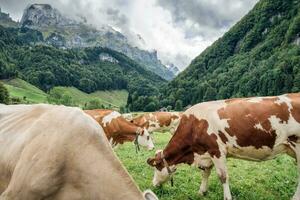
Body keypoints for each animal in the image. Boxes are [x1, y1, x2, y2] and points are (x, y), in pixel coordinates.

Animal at [146, 94, 300, 200]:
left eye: (157, 167)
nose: (154, 184)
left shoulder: (217, 150)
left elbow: (223, 176)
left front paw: (227, 197)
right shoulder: (206, 153)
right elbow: (205, 172)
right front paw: (201, 192)